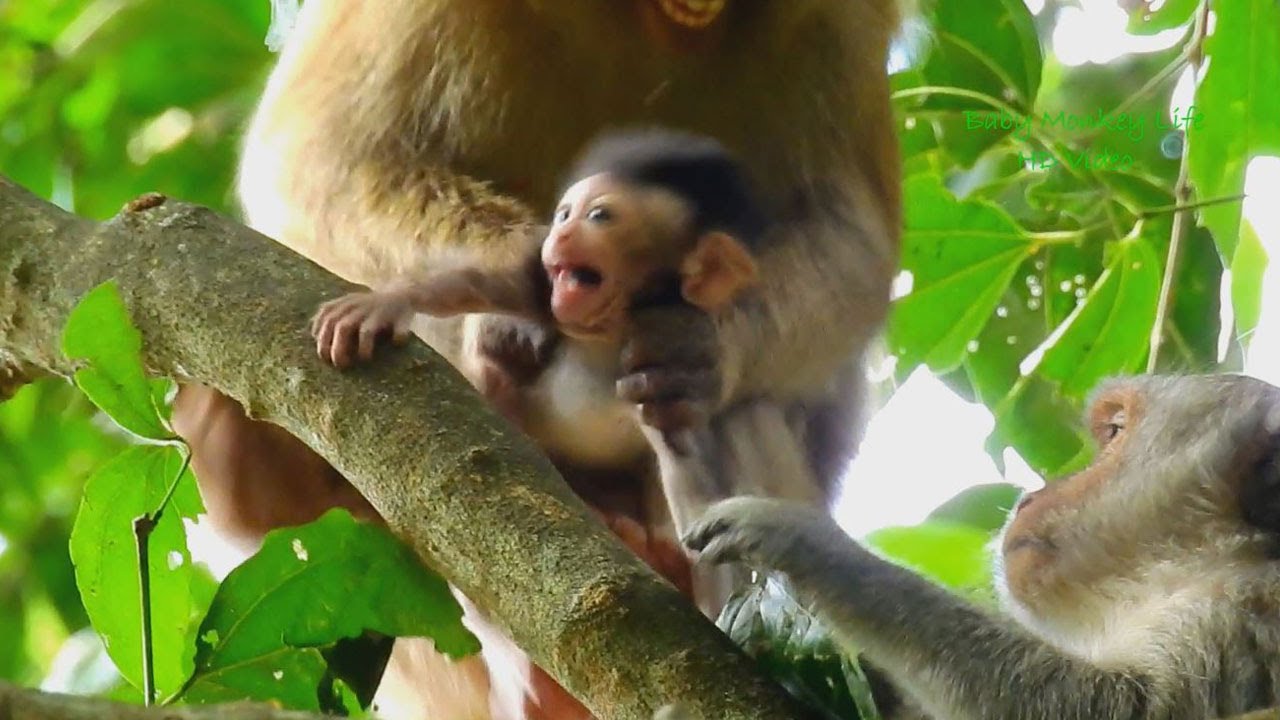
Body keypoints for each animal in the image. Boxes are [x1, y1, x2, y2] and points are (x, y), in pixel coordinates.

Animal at [176, 1, 903, 717]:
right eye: (569, 215)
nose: (565, 237)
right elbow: (320, 157)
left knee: (745, 414)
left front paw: (701, 351)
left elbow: (851, 233)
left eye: (604, 216)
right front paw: (494, 320)